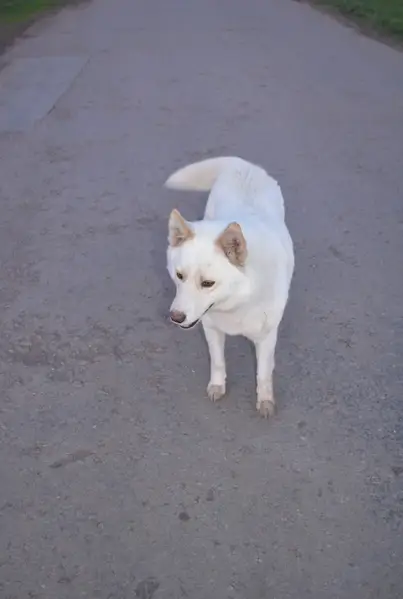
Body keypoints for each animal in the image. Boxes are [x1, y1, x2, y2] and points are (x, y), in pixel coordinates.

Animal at [165, 157, 294, 417]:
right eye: (179, 276)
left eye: (207, 283)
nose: (175, 317)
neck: (239, 299)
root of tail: (243, 163)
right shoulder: (211, 328)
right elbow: (217, 361)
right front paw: (217, 386)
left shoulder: (266, 338)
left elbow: (264, 373)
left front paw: (265, 401)